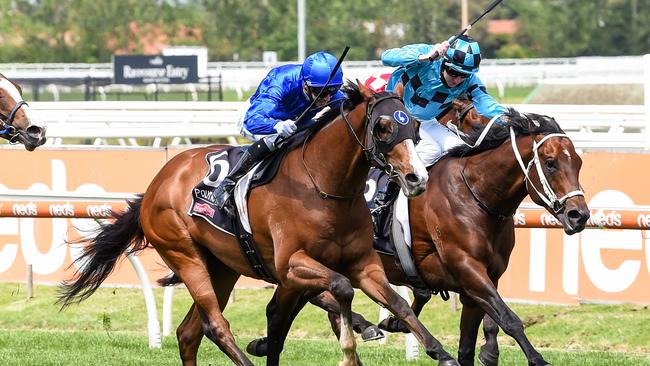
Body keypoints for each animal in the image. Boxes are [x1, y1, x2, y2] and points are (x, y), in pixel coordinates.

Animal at [57, 82, 460, 366]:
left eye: (415, 128)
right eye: (383, 126)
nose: (416, 178)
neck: (327, 188)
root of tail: (159, 181)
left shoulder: (364, 264)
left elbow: (399, 303)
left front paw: (441, 352)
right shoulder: (293, 264)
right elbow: (341, 289)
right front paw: (351, 342)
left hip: (221, 266)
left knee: (189, 333)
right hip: (185, 255)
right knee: (215, 325)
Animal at [247, 107, 588, 364]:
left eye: (579, 162)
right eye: (550, 162)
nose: (579, 215)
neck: (475, 195)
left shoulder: (479, 283)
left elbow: (473, 341)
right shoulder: (468, 270)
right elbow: (509, 318)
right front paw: (537, 359)